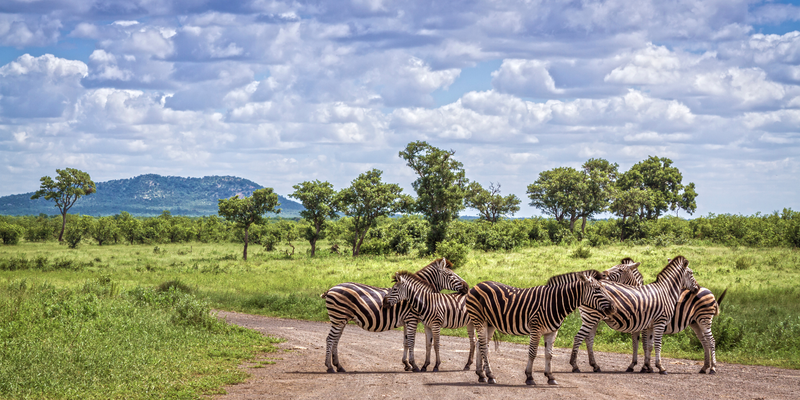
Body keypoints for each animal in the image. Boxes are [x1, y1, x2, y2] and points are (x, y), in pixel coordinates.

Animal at [320, 258, 467, 373]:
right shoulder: (412, 319)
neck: (418, 296)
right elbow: (412, 342)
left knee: (335, 340)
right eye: (450, 275)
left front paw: (406, 364)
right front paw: (414, 365)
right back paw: (329, 367)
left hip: (341, 320)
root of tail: (331, 289)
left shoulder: (407, 321)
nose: (466, 287)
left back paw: (338, 366)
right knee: (330, 339)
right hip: (338, 318)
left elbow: (406, 342)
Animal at [466, 272, 617, 385]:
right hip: (479, 320)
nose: (614, 308)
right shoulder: (536, 329)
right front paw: (529, 377)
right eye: (597, 289)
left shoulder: (552, 332)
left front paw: (550, 377)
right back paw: (490, 375)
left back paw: (481, 375)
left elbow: (549, 354)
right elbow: (532, 353)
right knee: (483, 347)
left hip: (490, 323)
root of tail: (477, 285)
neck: (555, 303)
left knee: (480, 344)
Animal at [574, 258, 727, 374]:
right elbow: (643, 345)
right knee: (707, 341)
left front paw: (644, 366)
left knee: (709, 341)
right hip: (697, 322)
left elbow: (645, 345)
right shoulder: (644, 325)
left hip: (701, 320)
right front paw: (644, 366)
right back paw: (707, 368)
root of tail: (709, 291)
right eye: (690, 273)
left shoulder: (643, 326)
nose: (696, 287)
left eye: (620, 270)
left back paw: (710, 368)